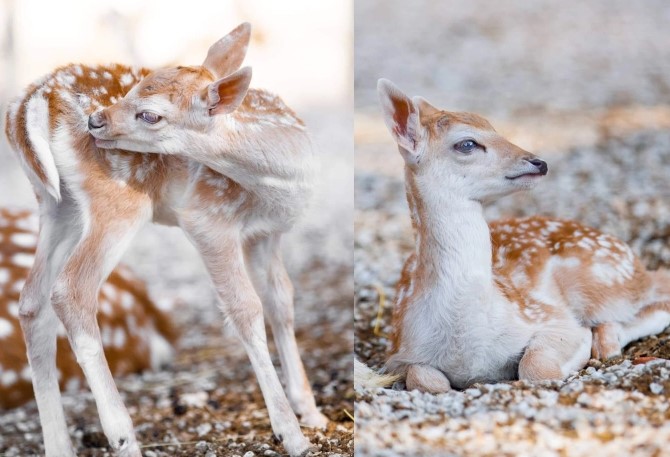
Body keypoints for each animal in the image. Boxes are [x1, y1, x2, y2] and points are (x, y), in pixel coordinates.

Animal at [360, 78, 670, 392]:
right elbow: (426, 379)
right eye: (467, 143)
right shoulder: (399, 353)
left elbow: (536, 366)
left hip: (605, 281)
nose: (539, 162)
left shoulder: (548, 316)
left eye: (494, 127)